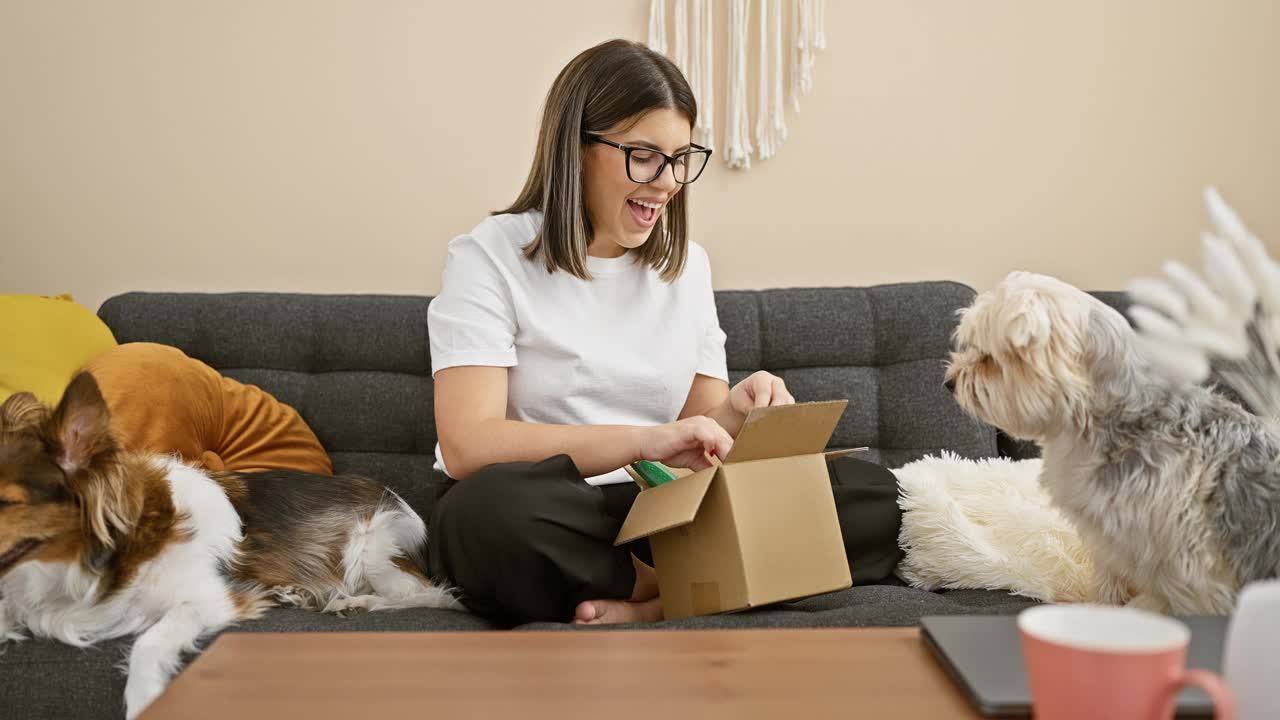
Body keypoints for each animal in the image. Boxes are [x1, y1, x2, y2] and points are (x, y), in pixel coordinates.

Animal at [0, 371, 460, 712]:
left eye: (5, 502)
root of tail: (398, 500)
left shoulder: (210, 598)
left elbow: (149, 643)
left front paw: (145, 699)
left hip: (373, 551)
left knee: (431, 596)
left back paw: (353, 603)